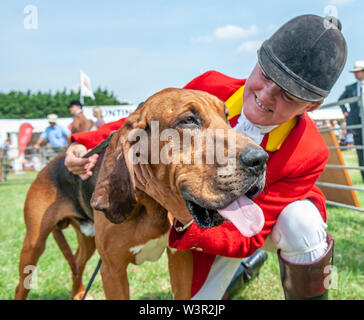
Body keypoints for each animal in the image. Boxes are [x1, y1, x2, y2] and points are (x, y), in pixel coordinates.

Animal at [14, 88, 268, 300]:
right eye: (188, 120)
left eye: (226, 116)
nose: (260, 159)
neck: (153, 205)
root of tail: (49, 164)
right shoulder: (112, 270)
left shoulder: (180, 258)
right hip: (33, 245)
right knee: (21, 285)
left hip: (87, 239)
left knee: (77, 262)